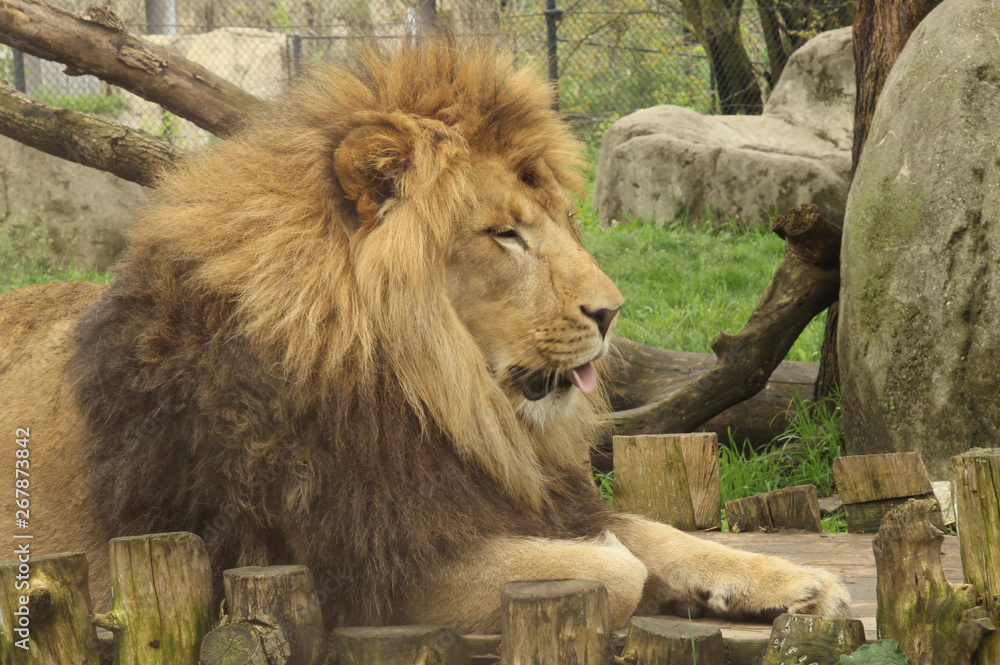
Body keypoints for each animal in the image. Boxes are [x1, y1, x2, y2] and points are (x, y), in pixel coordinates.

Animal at [0, 39, 849, 632]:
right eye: (507, 234)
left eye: (559, 222)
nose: (612, 312)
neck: (431, 395)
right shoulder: (346, 569)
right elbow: (617, 569)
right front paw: (614, 560)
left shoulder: (506, 491)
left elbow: (662, 532)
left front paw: (797, 579)